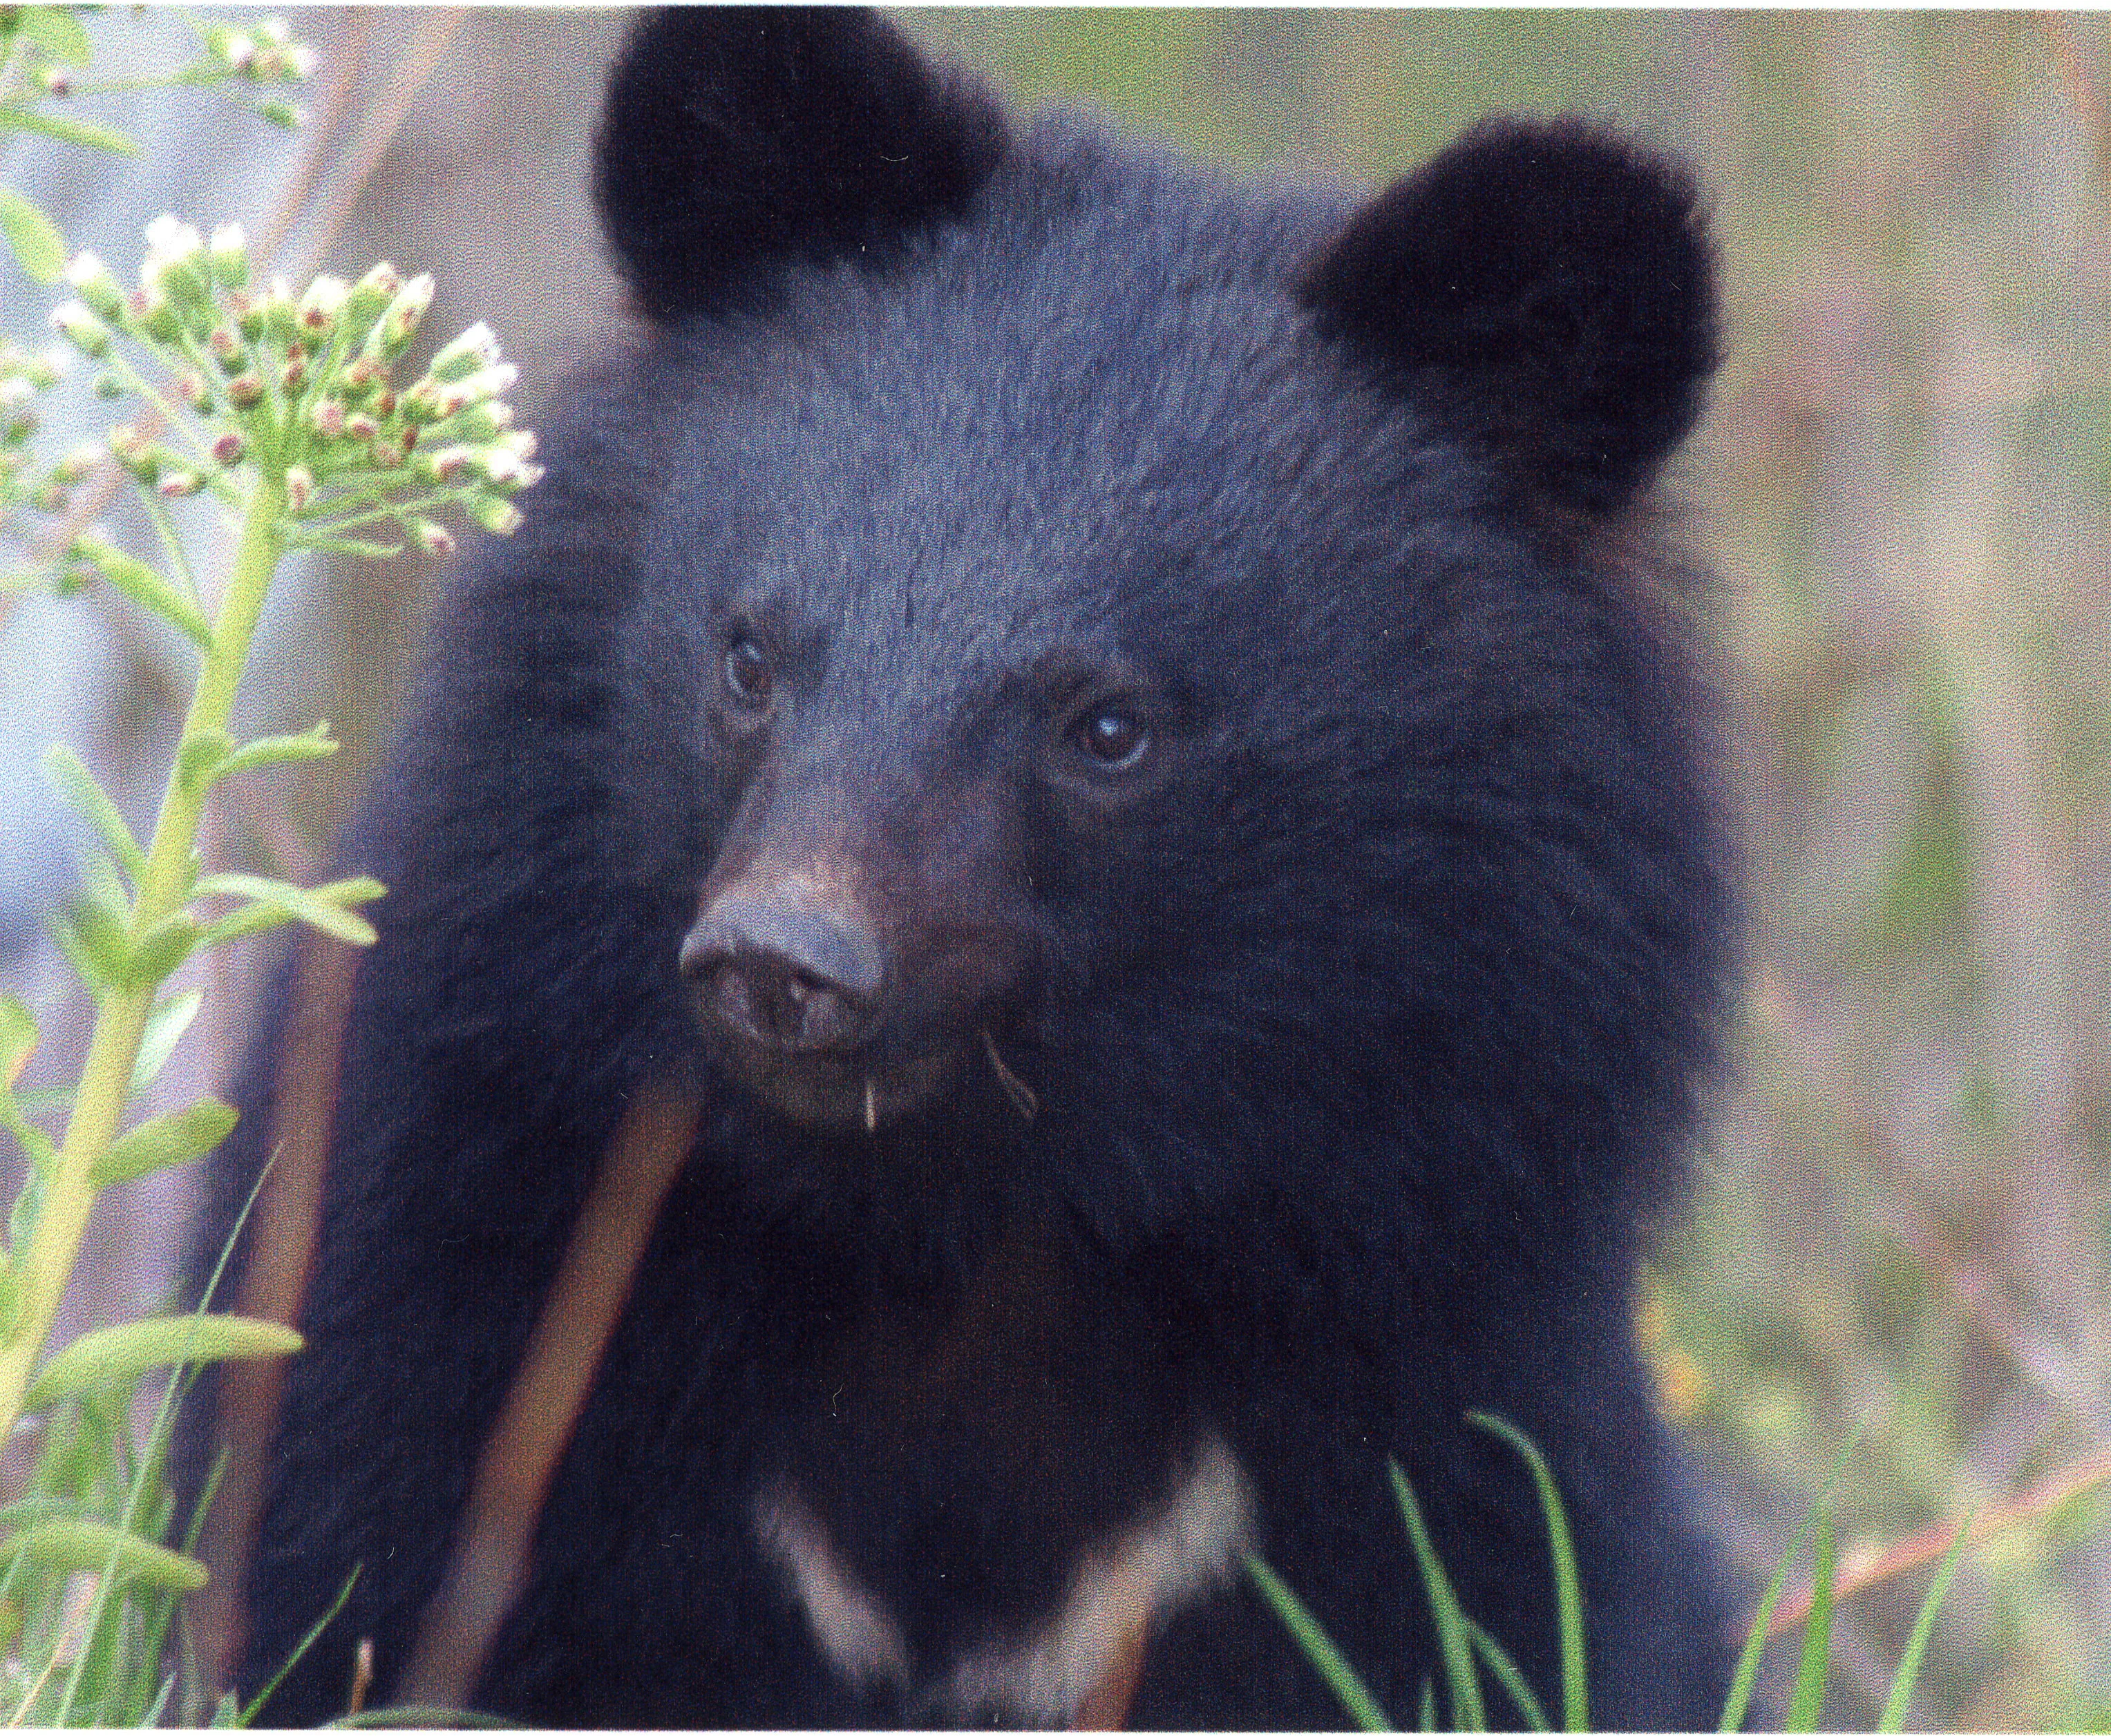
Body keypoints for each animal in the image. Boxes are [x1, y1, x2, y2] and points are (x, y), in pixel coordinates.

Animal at [183, 8, 1742, 1728]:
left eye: (1109, 726)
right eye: (748, 655)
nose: (783, 958)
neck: (981, 1217)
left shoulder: (1439, 1381)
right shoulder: (466, 1265)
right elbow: (354, 1564)